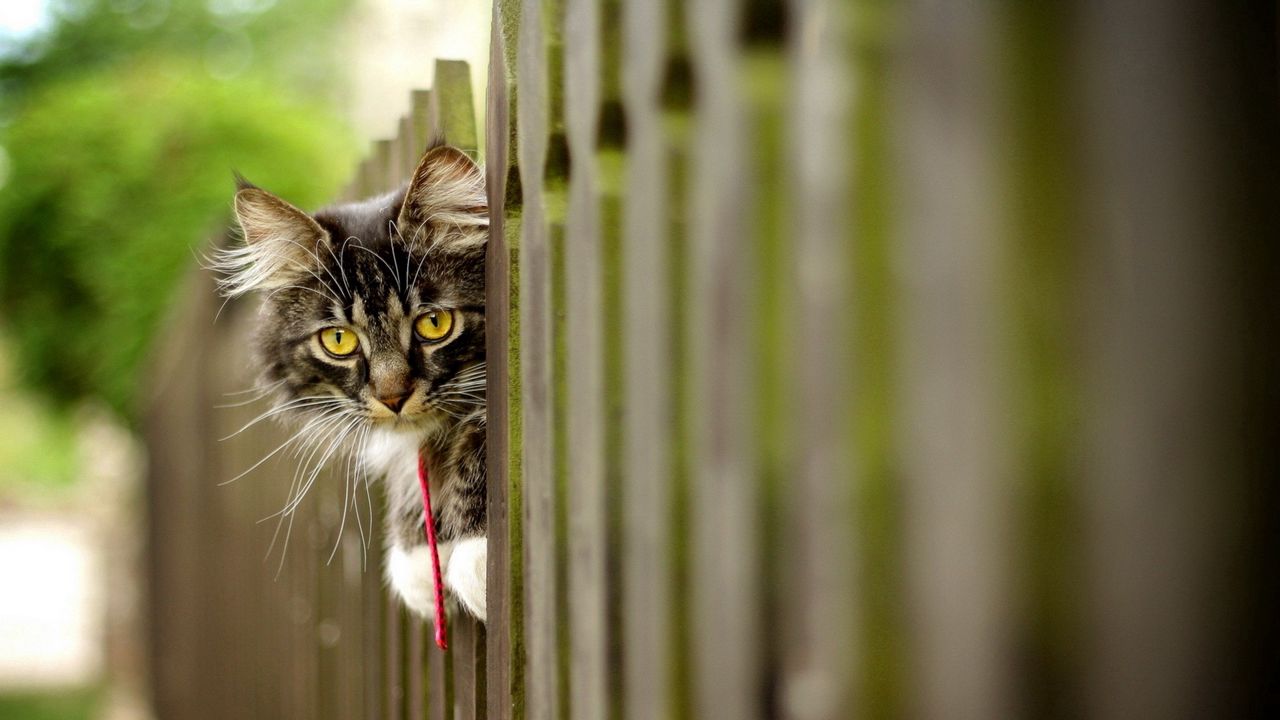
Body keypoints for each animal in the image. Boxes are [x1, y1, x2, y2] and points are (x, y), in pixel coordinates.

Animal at [209, 142, 488, 620]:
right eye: (339, 340)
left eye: (434, 323)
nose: (393, 397)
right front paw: (417, 556)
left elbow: (484, 430)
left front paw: (478, 550)